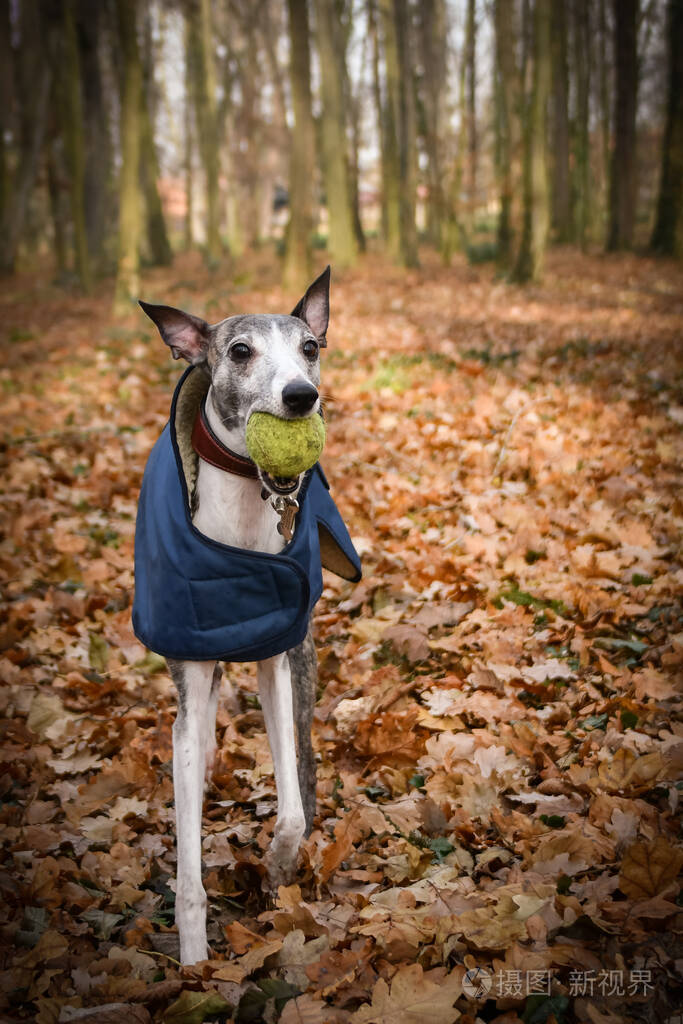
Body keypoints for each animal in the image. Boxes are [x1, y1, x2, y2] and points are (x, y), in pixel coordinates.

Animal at [131, 268, 360, 962]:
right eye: (239, 351)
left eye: (310, 346)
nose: (301, 397)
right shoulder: (191, 670)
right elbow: (187, 866)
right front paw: (193, 962)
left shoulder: (276, 659)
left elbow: (288, 811)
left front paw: (279, 868)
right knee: (200, 738)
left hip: (303, 663)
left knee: (305, 768)